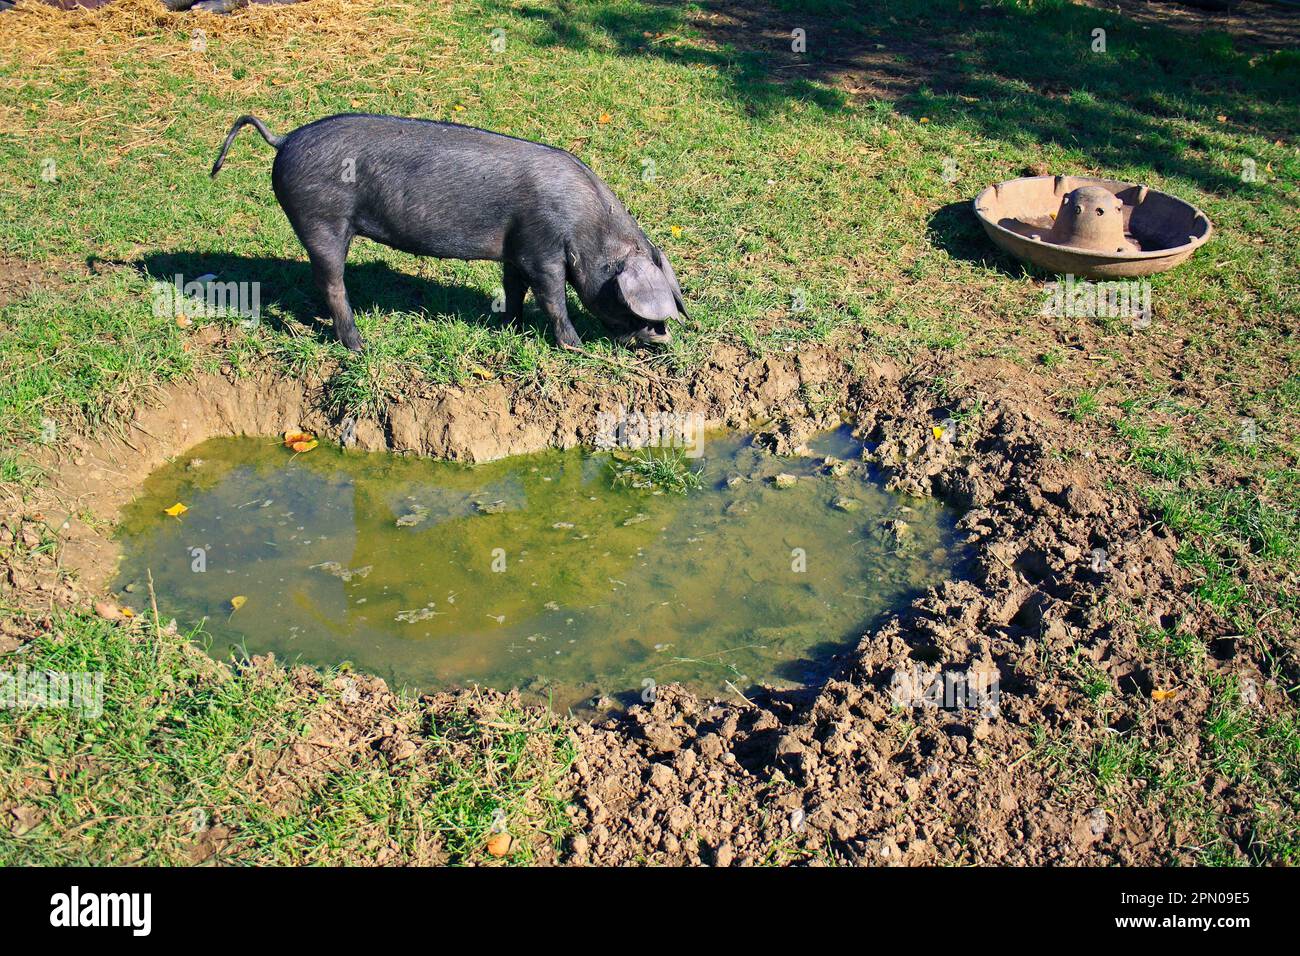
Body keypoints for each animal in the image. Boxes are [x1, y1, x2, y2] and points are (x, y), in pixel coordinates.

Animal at [208, 113, 686, 351]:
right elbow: (552, 297)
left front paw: (510, 326)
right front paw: (575, 348)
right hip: (321, 220)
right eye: (622, 296)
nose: (660, 336)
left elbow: (513, 288)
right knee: (332, 282)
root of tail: (284, 139)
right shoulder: (543, 247)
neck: (586, 228)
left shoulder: (516, 249)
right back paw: (359, 346)